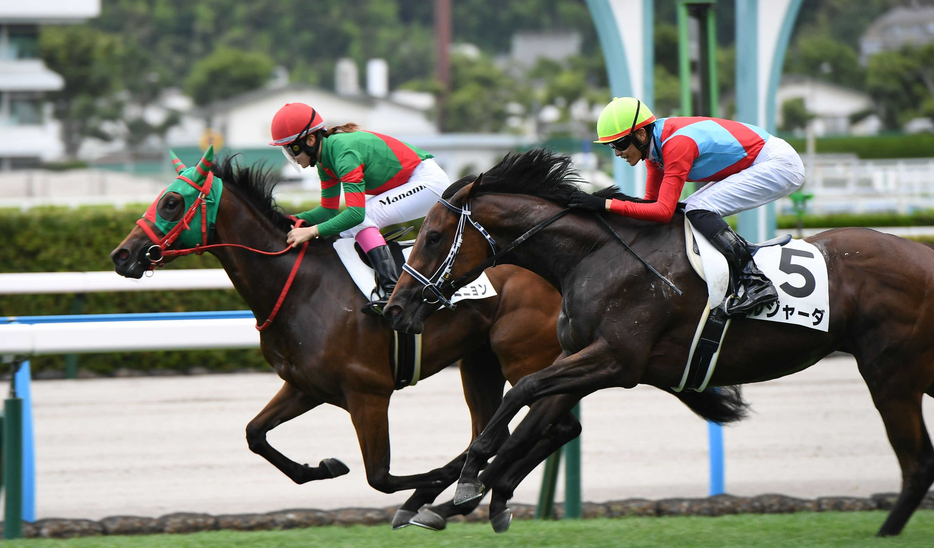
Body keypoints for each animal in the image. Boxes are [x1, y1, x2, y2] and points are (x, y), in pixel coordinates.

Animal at [109, 152, 572, 528]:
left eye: (171, 201)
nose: (121, 254)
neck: (301, 287)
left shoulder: (368, 393)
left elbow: (380, 477)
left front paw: (432, 483)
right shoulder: (305, 386)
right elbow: (255, 434)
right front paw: (325, 467)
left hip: (524, 357)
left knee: (554, 424)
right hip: (480, 361)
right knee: (495, 429)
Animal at [386, 149, 934, 536]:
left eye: (432, 236)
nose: (395, 307)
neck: (594, 256)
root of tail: (922, 256)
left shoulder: (616, 362)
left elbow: (521, 399)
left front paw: (469, 482)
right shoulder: (581, 358)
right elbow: (533, 421)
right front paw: (463, 498)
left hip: (890, 374)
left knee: (917, 462)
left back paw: (886, 533)